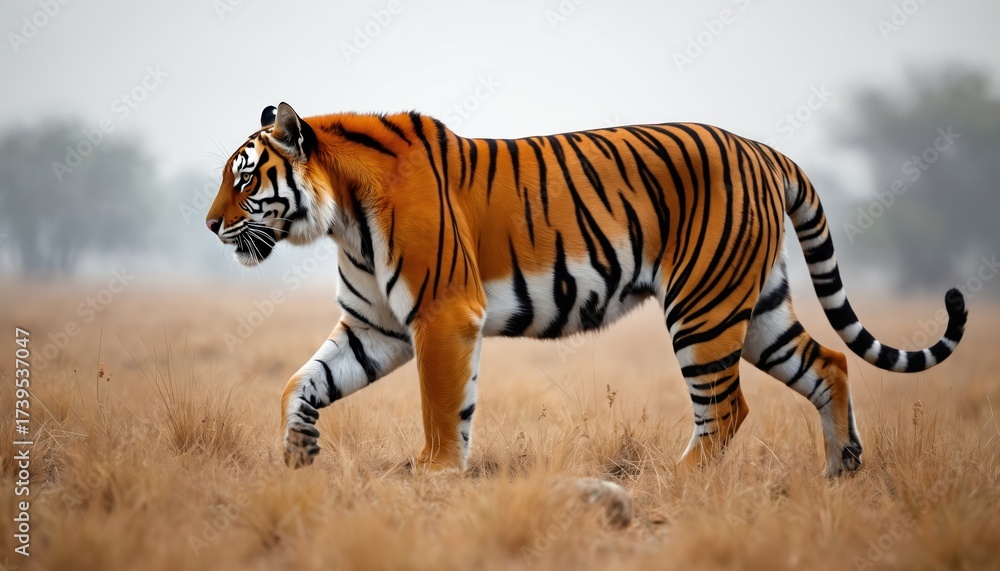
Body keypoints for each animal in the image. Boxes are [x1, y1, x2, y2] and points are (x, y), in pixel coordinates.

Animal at [206, 102, 968, 477]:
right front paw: (299, 452)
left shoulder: (441, 315)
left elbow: (440, 408)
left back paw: (676, 482)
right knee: (829, 363)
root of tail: (764, 149)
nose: (211, 225)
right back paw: (841, 468)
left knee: (726, 409)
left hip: (703, 308)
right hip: (757, 311)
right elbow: (302, 382)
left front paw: (433, 475)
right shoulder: (378, 328)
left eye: (243, 178)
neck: (341, 217)